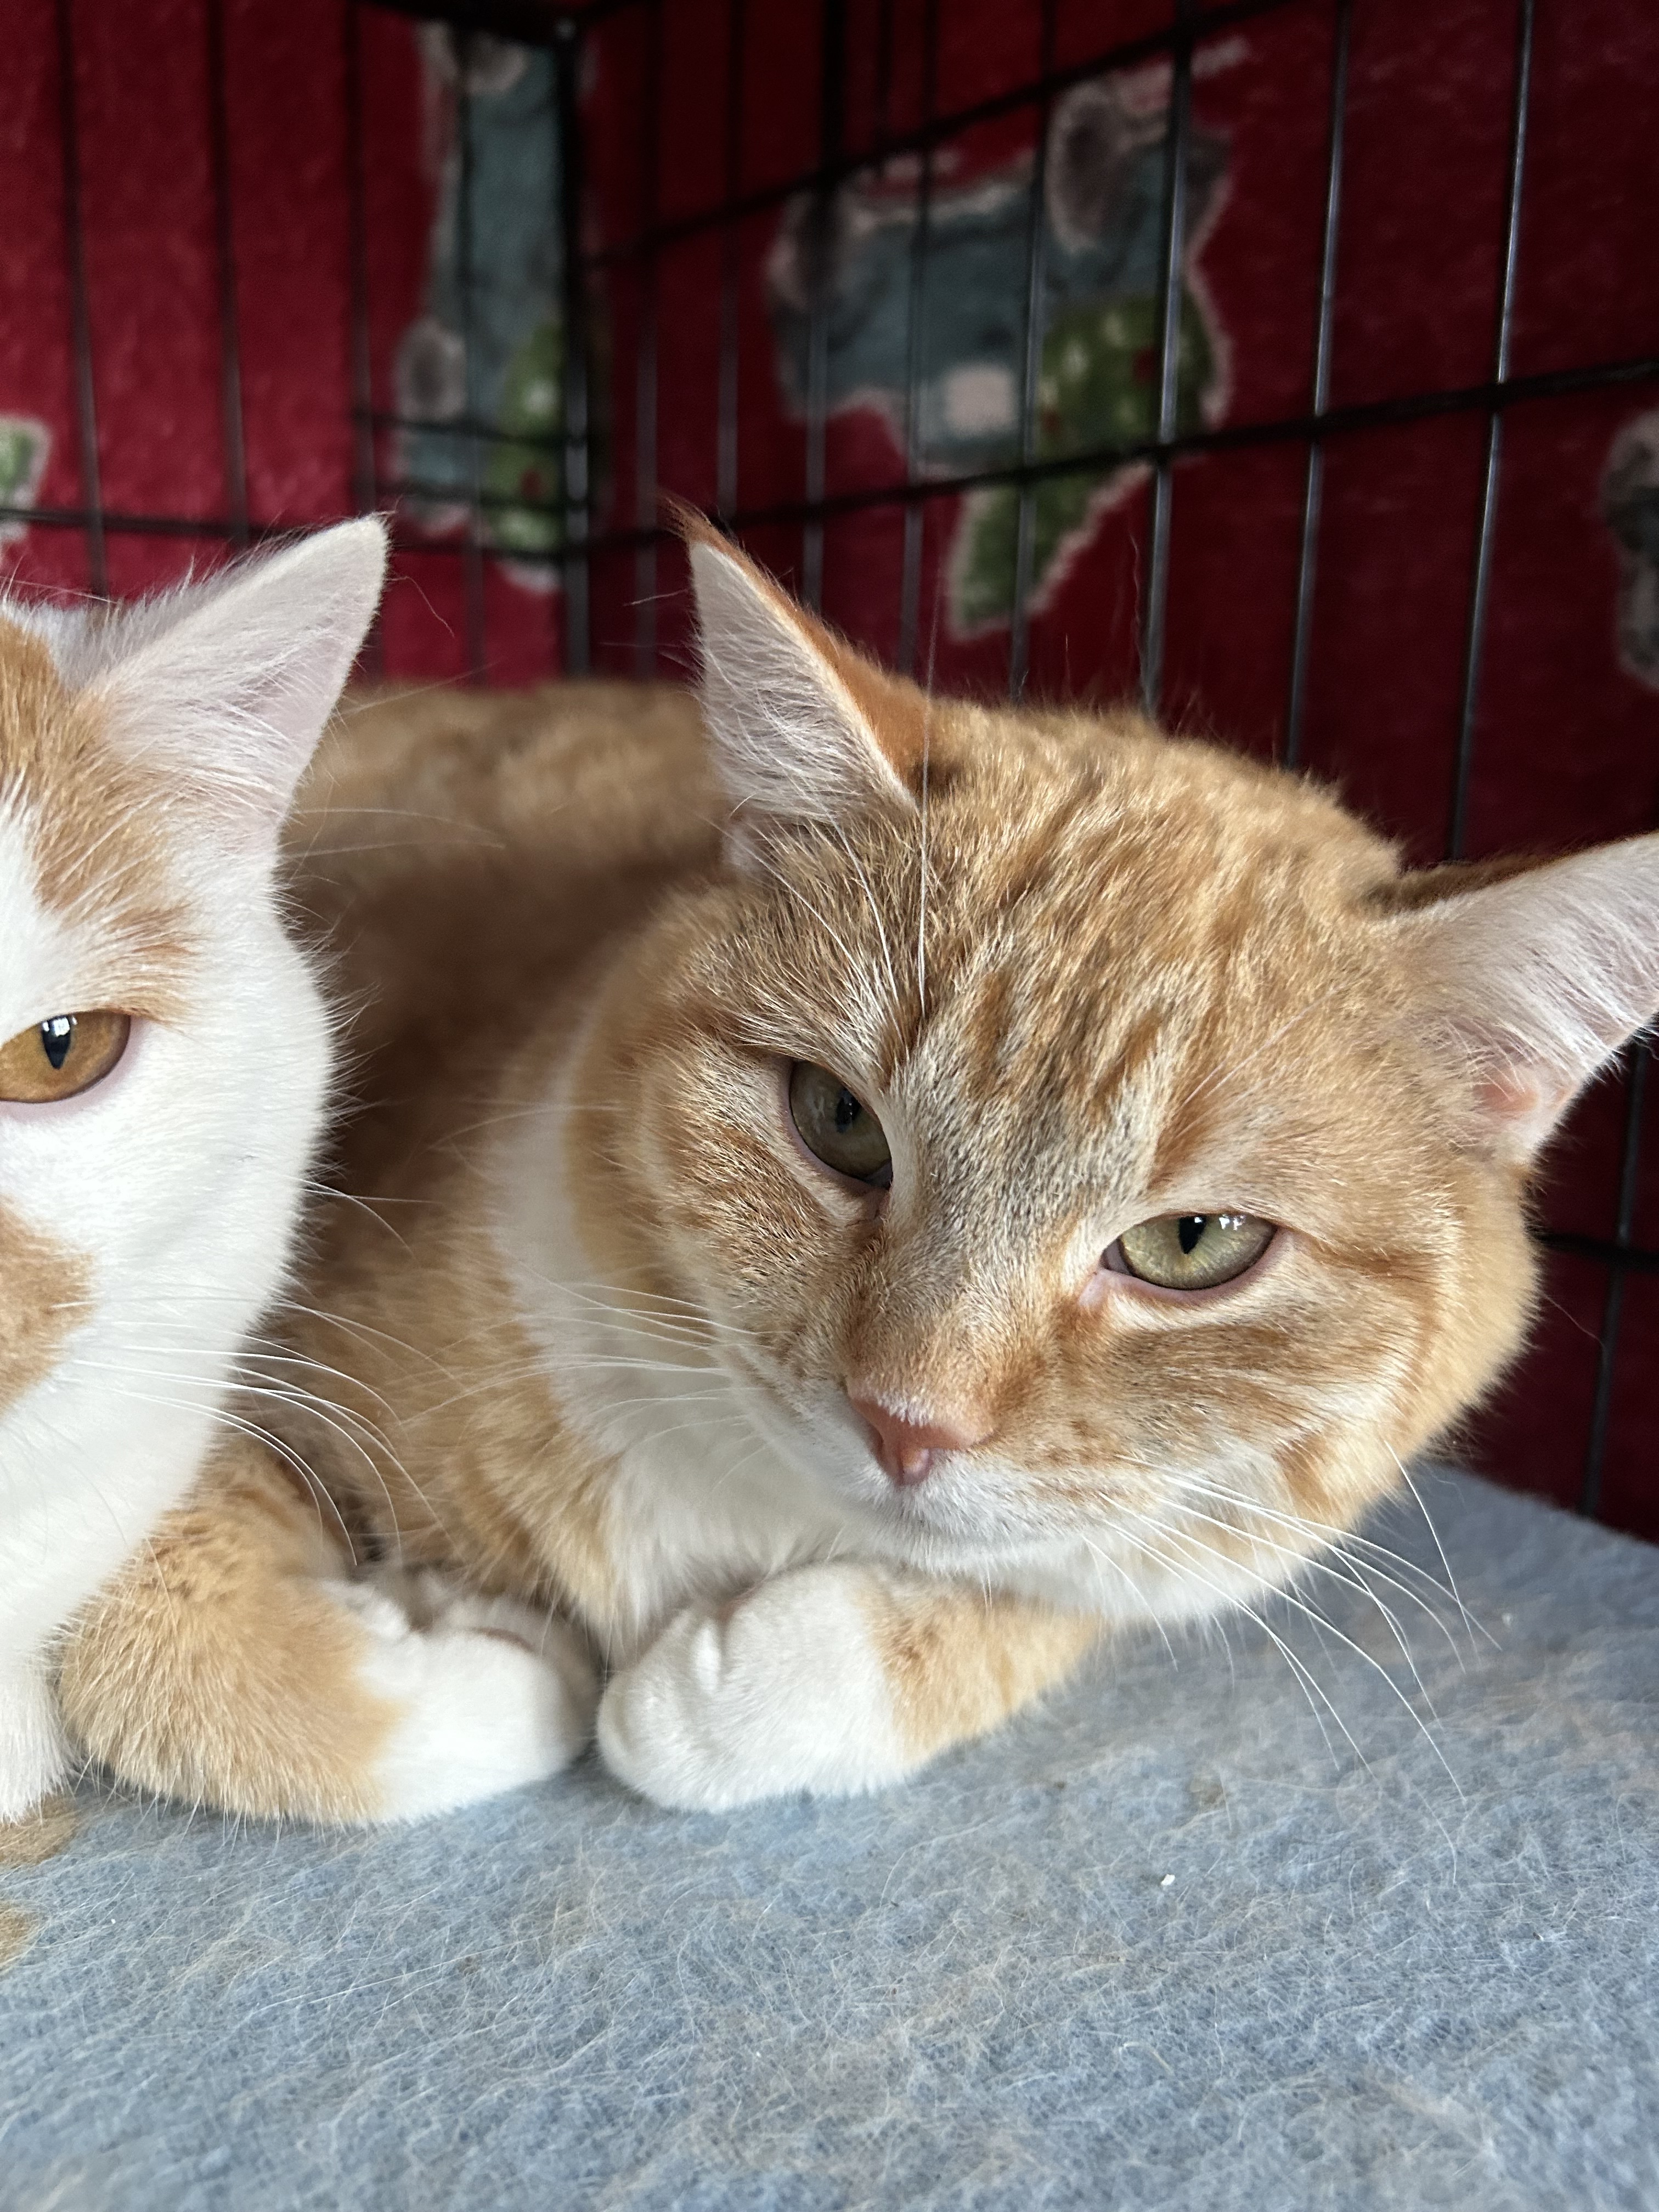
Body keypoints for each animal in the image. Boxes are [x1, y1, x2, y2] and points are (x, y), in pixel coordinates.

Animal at [58, 517, 1659, 1814]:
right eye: (838, 1122)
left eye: (1194, 1245)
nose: (908, 1425)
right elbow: (154, 1642)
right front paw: (502, 1669)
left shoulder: (1187, 1546)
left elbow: (1007, 1610)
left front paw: (724, 1691)